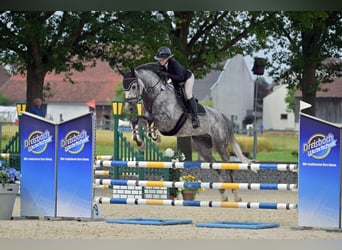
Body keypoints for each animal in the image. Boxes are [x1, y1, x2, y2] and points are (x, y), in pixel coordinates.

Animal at [121, 62, 250, 201]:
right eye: (124, 88)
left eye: (134, 86)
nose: (129, 108)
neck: (155, 95)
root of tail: (220, 115)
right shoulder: (149, 120)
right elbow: (137, 119)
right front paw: (141, 142)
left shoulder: (168, 121)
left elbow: (151, 119)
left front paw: (153, 136)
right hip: (202, 147)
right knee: (216, 167)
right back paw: (223, 197)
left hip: (220, 144)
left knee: (228, 168)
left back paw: (236, 197)